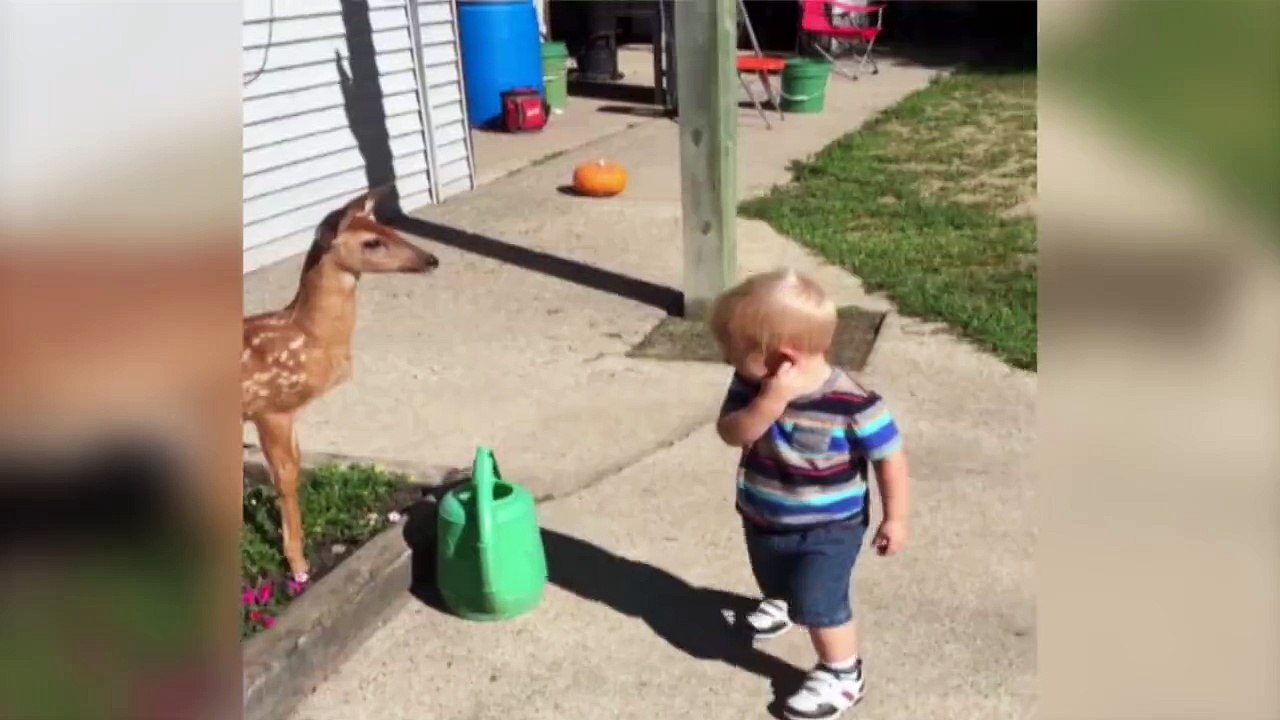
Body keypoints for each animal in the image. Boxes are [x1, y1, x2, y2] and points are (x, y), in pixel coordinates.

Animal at [241, 186, 438, 583]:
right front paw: (298, 566)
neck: (307, 336)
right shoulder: (271, 408)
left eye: (388, 227)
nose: (431, 258)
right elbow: (285, 478)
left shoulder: (287, 415)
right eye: (372, 242)